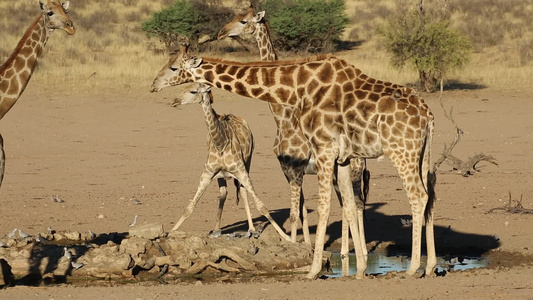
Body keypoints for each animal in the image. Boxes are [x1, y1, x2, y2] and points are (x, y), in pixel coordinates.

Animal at [171, 82, 290, 241]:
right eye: (183, 88)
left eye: (193, 91)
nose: (174, 101)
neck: (221, 143)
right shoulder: (207, 174)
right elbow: (189, 207)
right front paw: (169, 232)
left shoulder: (241, 171)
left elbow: (262, 206)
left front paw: (286, 237)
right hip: (221, 176)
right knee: (223, 193)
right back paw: (216, 230)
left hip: (248, 163)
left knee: (243, 191)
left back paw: (251, 229)